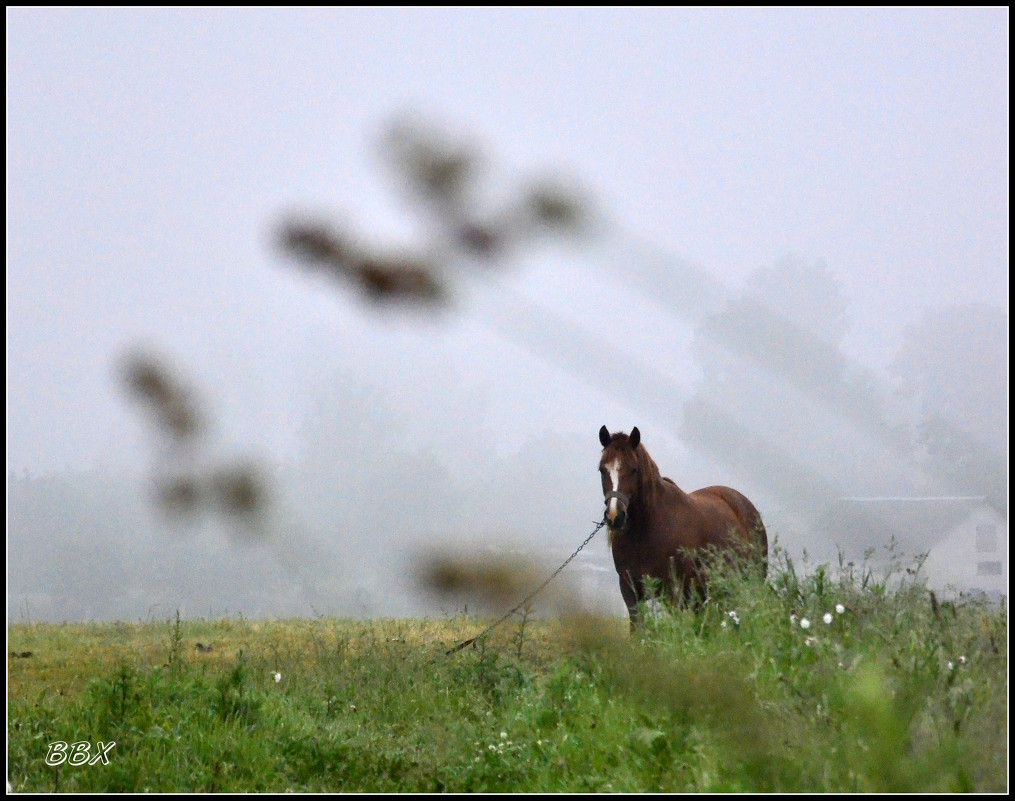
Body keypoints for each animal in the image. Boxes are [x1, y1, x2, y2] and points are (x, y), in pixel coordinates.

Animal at [592, 428, 767, 629]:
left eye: (633, 469)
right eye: (602, 469)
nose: (615, 516)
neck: (646, 532)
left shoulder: (673, 593)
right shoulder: (630, 591)